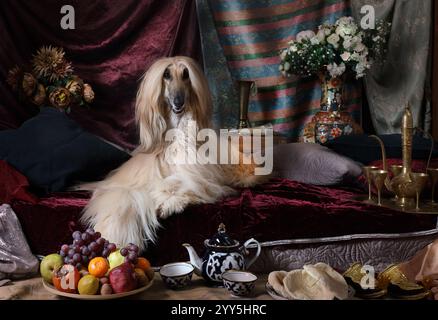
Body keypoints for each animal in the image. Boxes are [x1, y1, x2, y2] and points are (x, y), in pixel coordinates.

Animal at [80, 56, 266, 251]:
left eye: (186, 74)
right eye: (166, 75)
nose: (178, 102)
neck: (176, 138)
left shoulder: (205, 180)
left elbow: (181, 182)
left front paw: (167, 202)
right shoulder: (122, 185)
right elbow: (124, 197)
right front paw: (116, 233)